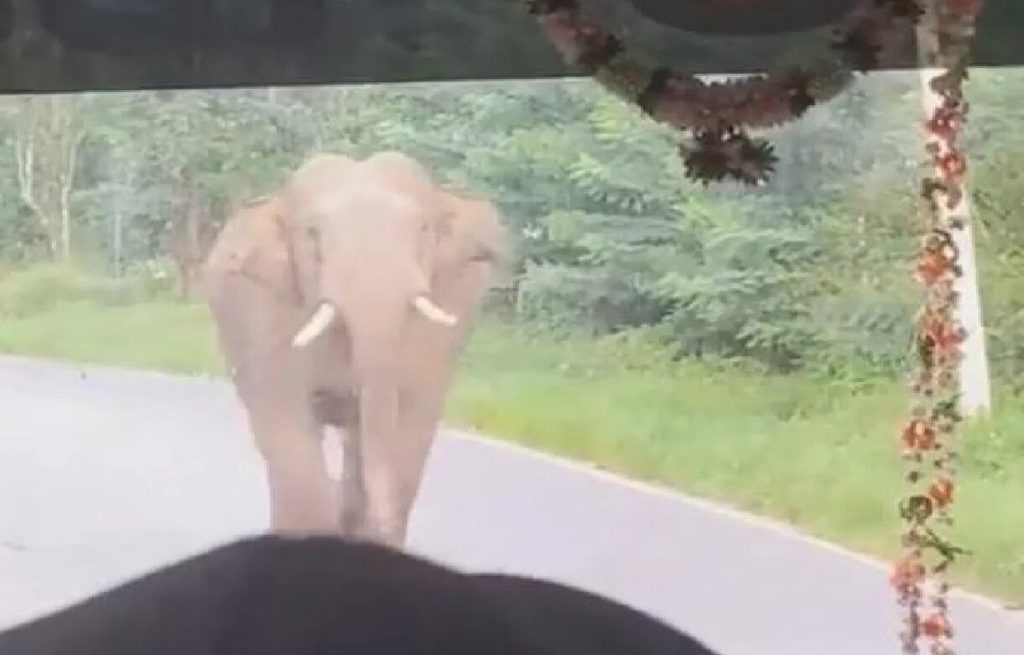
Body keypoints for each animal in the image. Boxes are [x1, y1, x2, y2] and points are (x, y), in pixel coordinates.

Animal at [202, 150, 505, 548]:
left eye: (423, 229)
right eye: (312, 234)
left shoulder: (442, 317)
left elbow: (411, 421)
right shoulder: (263, 311)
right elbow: (287, 421)